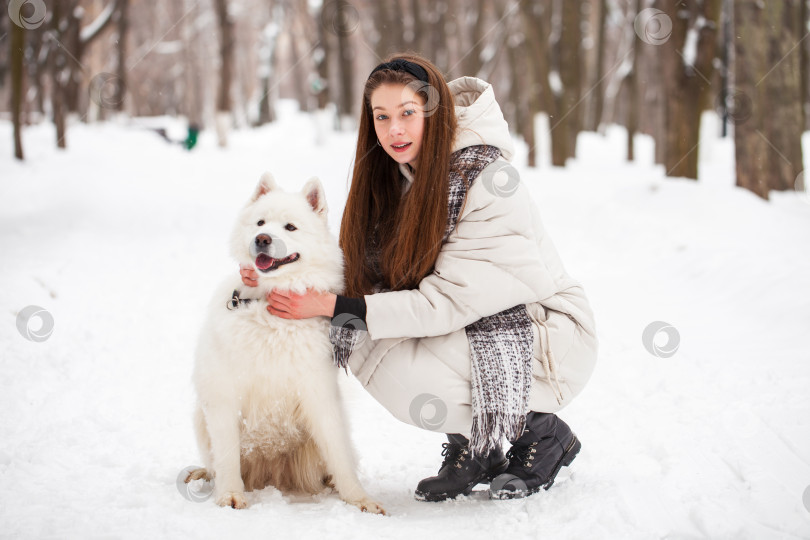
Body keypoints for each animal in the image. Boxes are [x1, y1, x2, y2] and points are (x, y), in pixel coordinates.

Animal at [184, 173, 386, 516]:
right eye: (260, 222)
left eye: (290, 227)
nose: (262, 239)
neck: (270, 306)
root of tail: (273, 475)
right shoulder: (223, 395)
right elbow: (226, 457)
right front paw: (230, 495)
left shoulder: (319, 393)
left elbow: (340, 454)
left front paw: (359, 499)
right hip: (201, 416)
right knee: (214, 464)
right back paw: (203, 475)